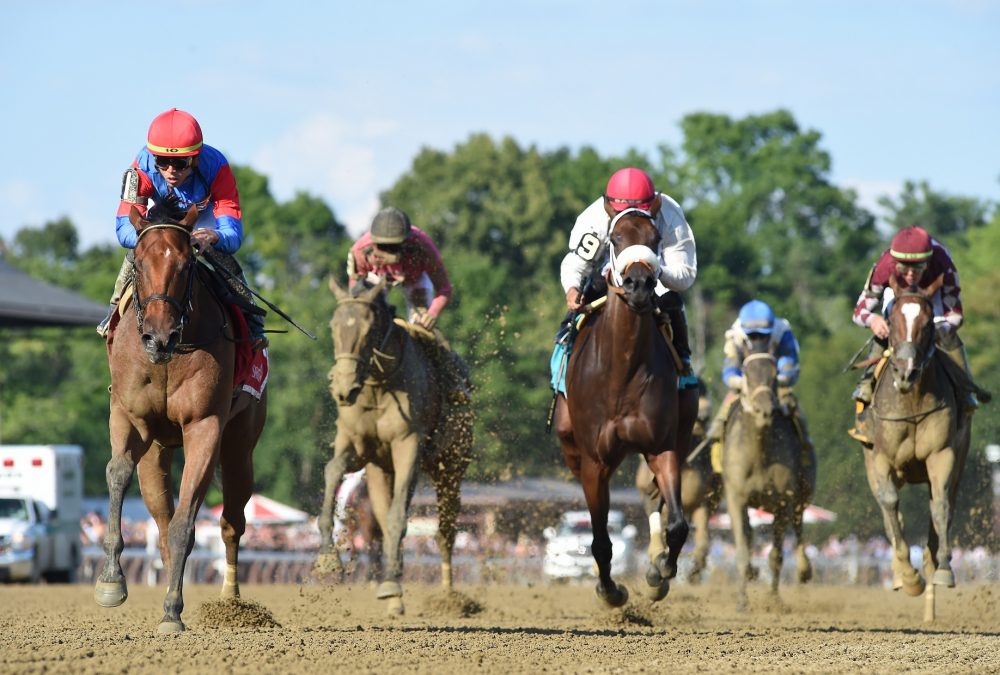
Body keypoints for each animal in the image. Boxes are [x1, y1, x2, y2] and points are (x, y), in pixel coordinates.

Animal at [93, 201, 266, 632]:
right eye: (138, 262)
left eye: (188, 264)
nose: (159, 337)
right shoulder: (129, 415)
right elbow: (117, 472)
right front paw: (110, 581)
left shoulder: (205, 426)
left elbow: (186, 524)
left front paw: (172, 609)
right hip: (157, 452)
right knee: (160, 516)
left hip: (240, 446)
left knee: (231, 522)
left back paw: (230, 603)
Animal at [320, 278, 476, 616]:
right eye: (333, 326)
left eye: (368, 329)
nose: (343, 389)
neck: (379, 386)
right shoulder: (356, 446)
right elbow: (332, 470)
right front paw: (327, 557)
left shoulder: (409, 446)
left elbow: (397, 516)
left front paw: (391, 581)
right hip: (381, 472)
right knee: (381, 518)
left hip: (451, 468)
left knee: (445, 532)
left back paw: (448, 597)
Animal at [556, 206, 696, 608]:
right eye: (615, 239)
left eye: (655, 238)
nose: (638, 285)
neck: (622, 367)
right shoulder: (595, 461)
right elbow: (601, 540)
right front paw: (610, 590)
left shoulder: (661, 446)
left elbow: (678, 524)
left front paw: (659, 573)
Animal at [864, 274, 972, 624]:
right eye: (892, 321)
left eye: (926, 323)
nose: (906, 371)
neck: (911, 400)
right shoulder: (881, 458)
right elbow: (890, 505)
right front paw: (908, 577)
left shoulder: (943, 455)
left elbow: (940, 506)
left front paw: (944, 568)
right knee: (889, 513)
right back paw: (902, 573)